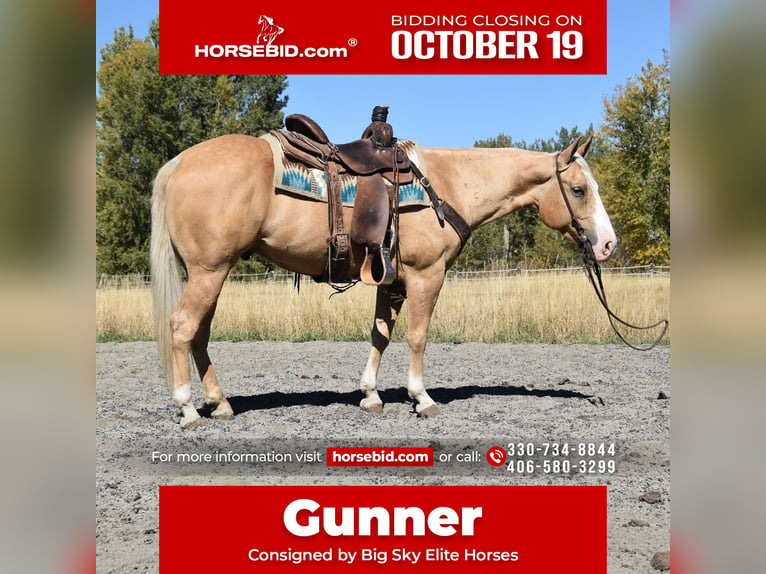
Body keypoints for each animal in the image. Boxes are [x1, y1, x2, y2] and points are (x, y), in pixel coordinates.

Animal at [150, 133, 617, 428]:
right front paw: (421, 398)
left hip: (210, 273)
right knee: (183, 328)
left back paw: (220, 403)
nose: (608, 244)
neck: (448, 184)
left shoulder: (390, 280)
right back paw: (188, 409)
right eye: (578, 190)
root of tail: (180, 161)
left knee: (199, 333)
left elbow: (381, 335)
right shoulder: (427, 276)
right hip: (210, 271)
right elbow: (417, 336)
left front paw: (371, 395)